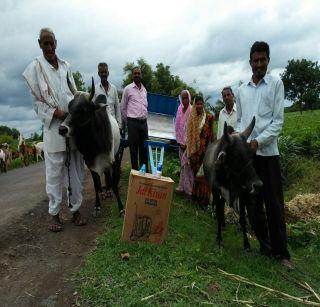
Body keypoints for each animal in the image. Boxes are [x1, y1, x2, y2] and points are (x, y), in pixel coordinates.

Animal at [59, 76, 124, 217]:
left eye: (82, 109)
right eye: (69, 107)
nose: (62, 129)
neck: (93, 142)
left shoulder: (112, 160)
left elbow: (115, 184)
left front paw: (121, 208)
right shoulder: (90, 162)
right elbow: (96, 184)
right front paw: (97, 206)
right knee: (105, 176)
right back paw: (105, 191)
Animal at [204, 118, 262, 250]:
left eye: (251, 154)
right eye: (237, 156)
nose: (258, 185)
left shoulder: (243, 193)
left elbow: (242, 219)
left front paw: (246, 244)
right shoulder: (218, 191)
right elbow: (219, 213)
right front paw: (219, 239)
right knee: (217, 207)